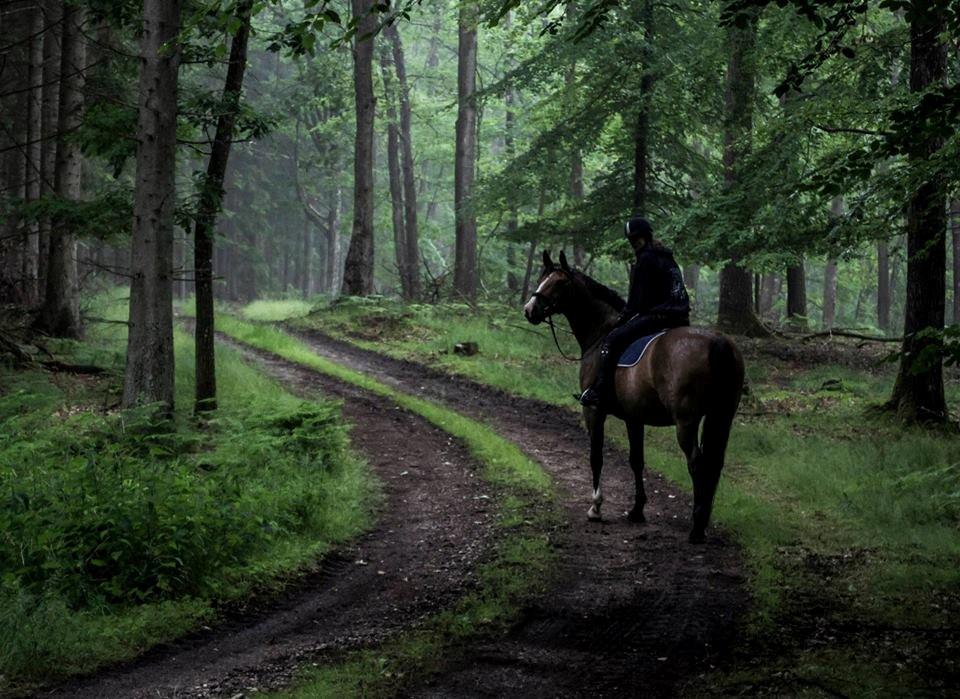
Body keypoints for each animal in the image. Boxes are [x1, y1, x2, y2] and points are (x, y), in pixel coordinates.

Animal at [524, 249, 744, 544]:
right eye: (542, 278)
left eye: (558, 283)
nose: (530, 310)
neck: (601, 332)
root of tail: (718, 342)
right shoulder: (634, 417)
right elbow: (636, 460)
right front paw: (637, 510)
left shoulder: (594, 411)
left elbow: (596, 456)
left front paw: (596, 507)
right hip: (722, 416)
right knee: (714, 463)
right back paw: (702, 519)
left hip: (686, 421)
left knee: (697, 464)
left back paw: (697, 528)